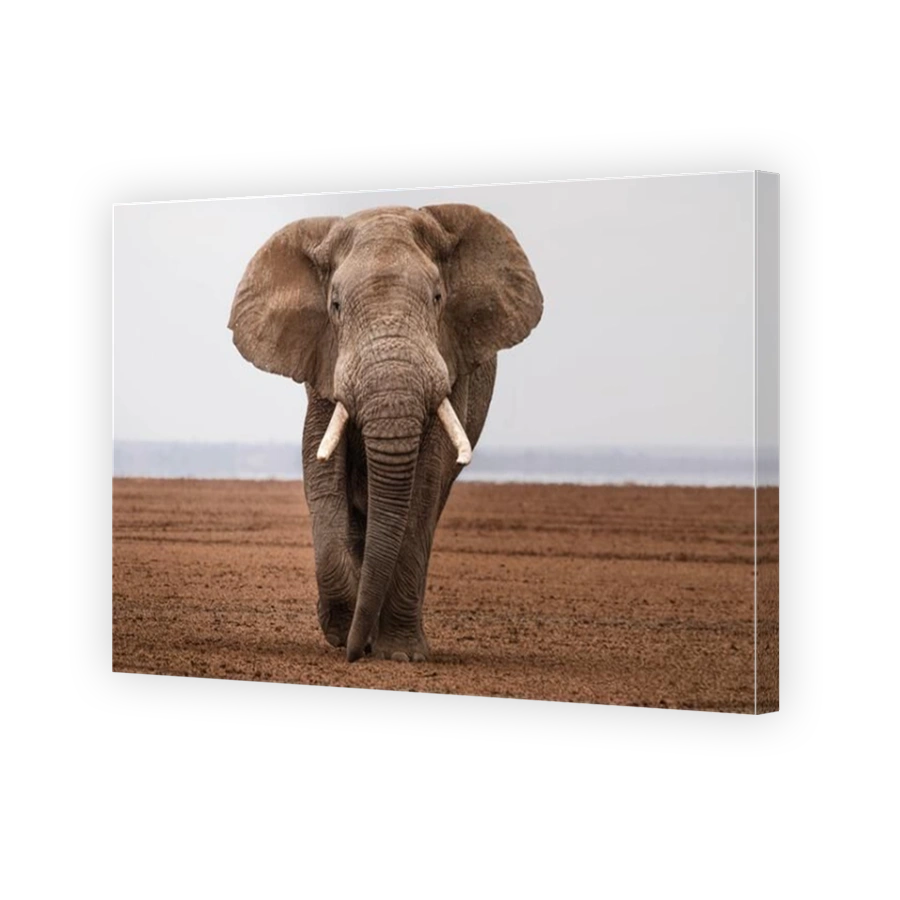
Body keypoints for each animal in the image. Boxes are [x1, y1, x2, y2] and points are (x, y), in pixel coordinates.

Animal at [228, 204, 543, 662]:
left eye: (438, 298)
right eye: (335, 305)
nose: (354, 653)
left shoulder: (452, 361)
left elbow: (425, 483)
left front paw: (400, 654)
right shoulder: (323, 360)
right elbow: (320, 466)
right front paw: (343, 632)